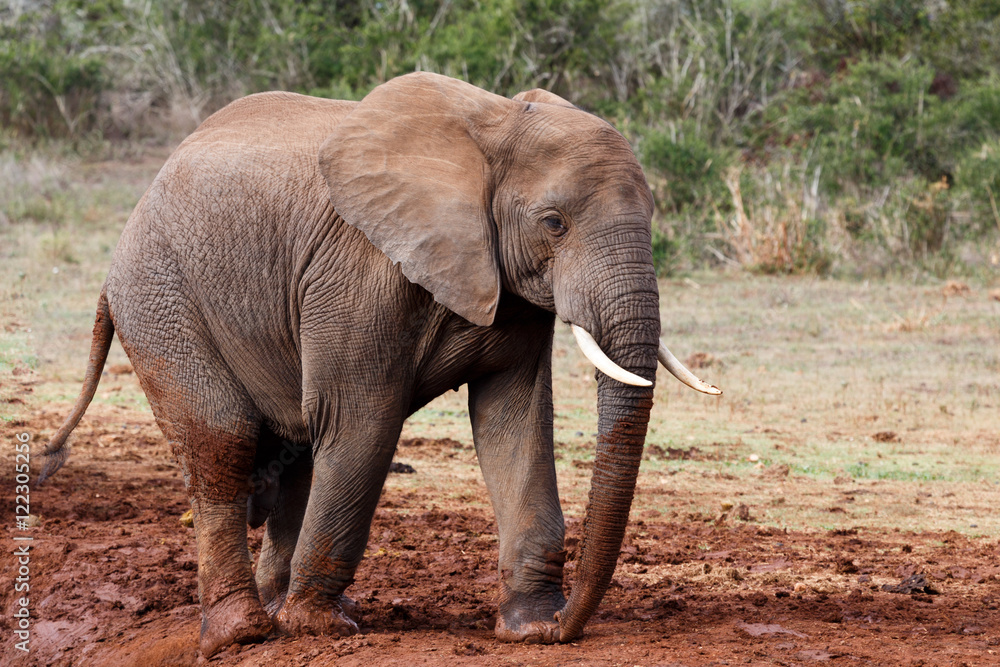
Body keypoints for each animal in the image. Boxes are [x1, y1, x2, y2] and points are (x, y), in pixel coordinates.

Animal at [40, 72, 719, 657]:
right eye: (554, 223)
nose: (565, 627)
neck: (494, 127)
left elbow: (514, 420)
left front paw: (527, 628)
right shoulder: (360, 274)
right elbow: (361, 420)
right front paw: (320, 629)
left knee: (298, 450)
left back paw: (276, 608)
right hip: (158, 296)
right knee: (224, 440)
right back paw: (244, 633)